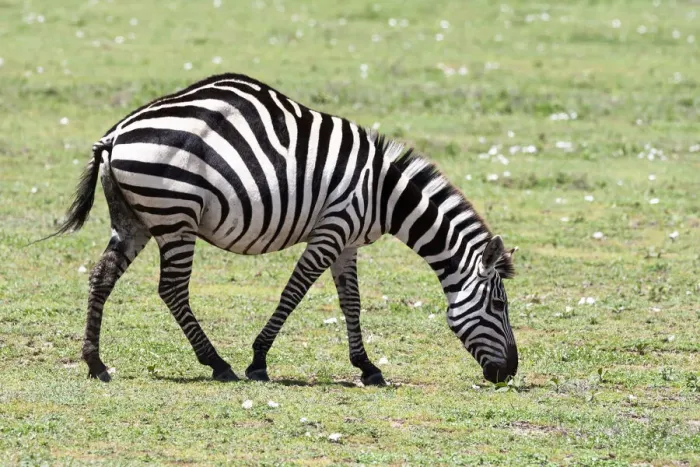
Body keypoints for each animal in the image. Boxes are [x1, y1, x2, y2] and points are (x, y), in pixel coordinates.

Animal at [48, 73, 518, 386]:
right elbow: (294, 292)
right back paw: (218, 364)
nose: (510, 372)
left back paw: (95, 363)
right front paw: (258, 361)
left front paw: (367, 367)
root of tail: (115, 135)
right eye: (499, 305)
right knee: (172, 289)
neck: (384, 194)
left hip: (136, 219)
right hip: (175, 216)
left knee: (102, 276)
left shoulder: (348, 242)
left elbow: (351, 302)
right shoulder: (333, 227)